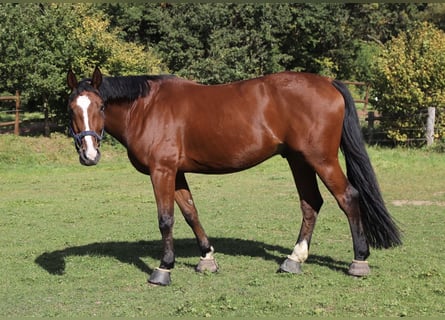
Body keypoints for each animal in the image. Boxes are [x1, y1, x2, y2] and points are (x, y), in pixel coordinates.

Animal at [67, 67, 402, 284]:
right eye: (71, 107)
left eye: (101, 105)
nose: (89, 155)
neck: (146, 108)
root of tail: (329, 83)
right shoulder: (177, 172)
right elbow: (190, 212)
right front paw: (206, 258)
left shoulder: (162, 171)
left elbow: (166, 219)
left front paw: (163, 269)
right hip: (299, 160)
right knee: (311, 203)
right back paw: (293, 260)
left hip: (321, 159)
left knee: (348, 198)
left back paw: (359, 261)